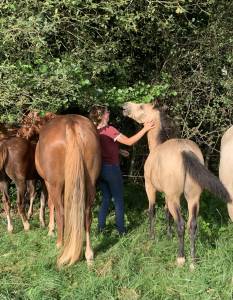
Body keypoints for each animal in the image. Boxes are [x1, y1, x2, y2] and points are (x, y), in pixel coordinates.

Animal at [35, 113, 100, 266]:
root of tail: (71, 124)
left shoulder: (49, 183)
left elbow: (50, 204)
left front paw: (50, 230)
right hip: (90, 184)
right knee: (87, 215)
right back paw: (89, 255)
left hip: (55, 184)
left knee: (61, 212)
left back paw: (60, 244)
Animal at [123, 102, 230, 268]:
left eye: (141, 107)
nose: (125, 106)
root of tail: (185, 151)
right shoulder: (167, 195)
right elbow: (167, 213)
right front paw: (168, 236)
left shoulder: (150, 188)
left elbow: (152, 211)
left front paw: (152, 237)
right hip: (192, 198)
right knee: (192, 225)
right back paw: (193, 261)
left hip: (175, 198)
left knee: (181, 224)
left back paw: (181, 258)